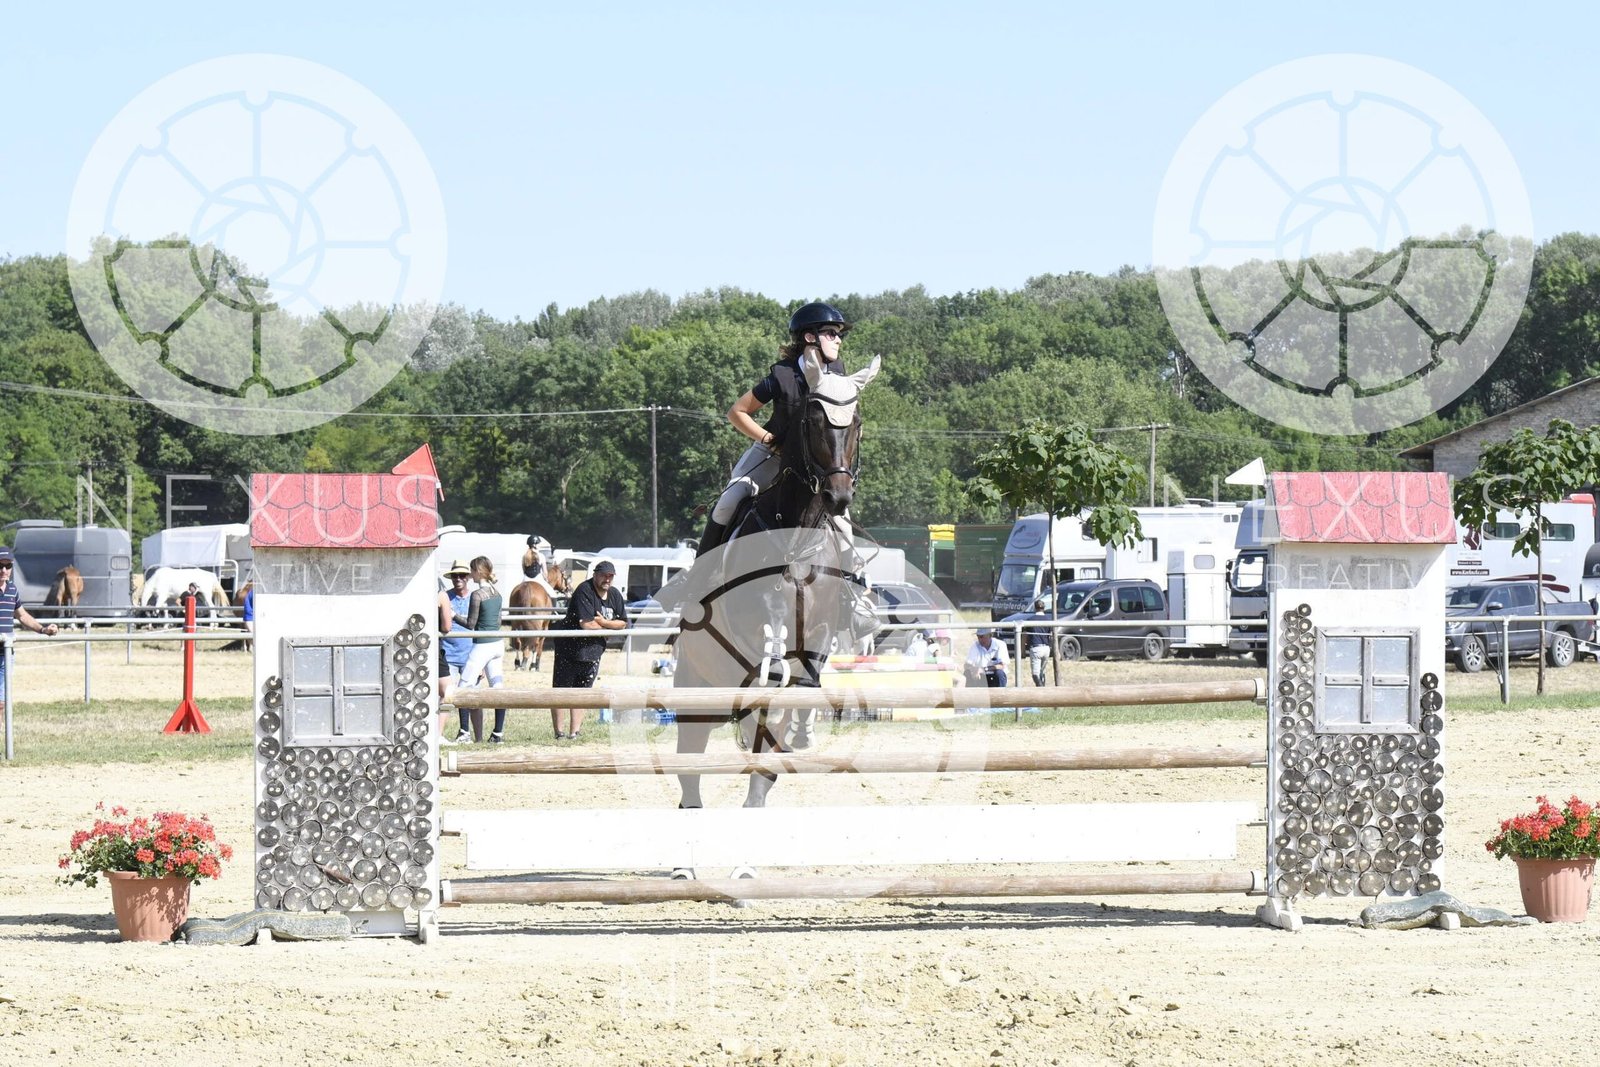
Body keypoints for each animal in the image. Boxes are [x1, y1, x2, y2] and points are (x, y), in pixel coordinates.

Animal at [663, 355, 882, 831]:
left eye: (855, 423)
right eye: (814, 421)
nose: (839, 496)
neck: (796, 538)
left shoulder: (820, 627)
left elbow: (806, 671)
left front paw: (803, 722)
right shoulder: (756, 614)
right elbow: (772, 640)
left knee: (760, 762)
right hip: (695, 687)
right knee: (691, 764)